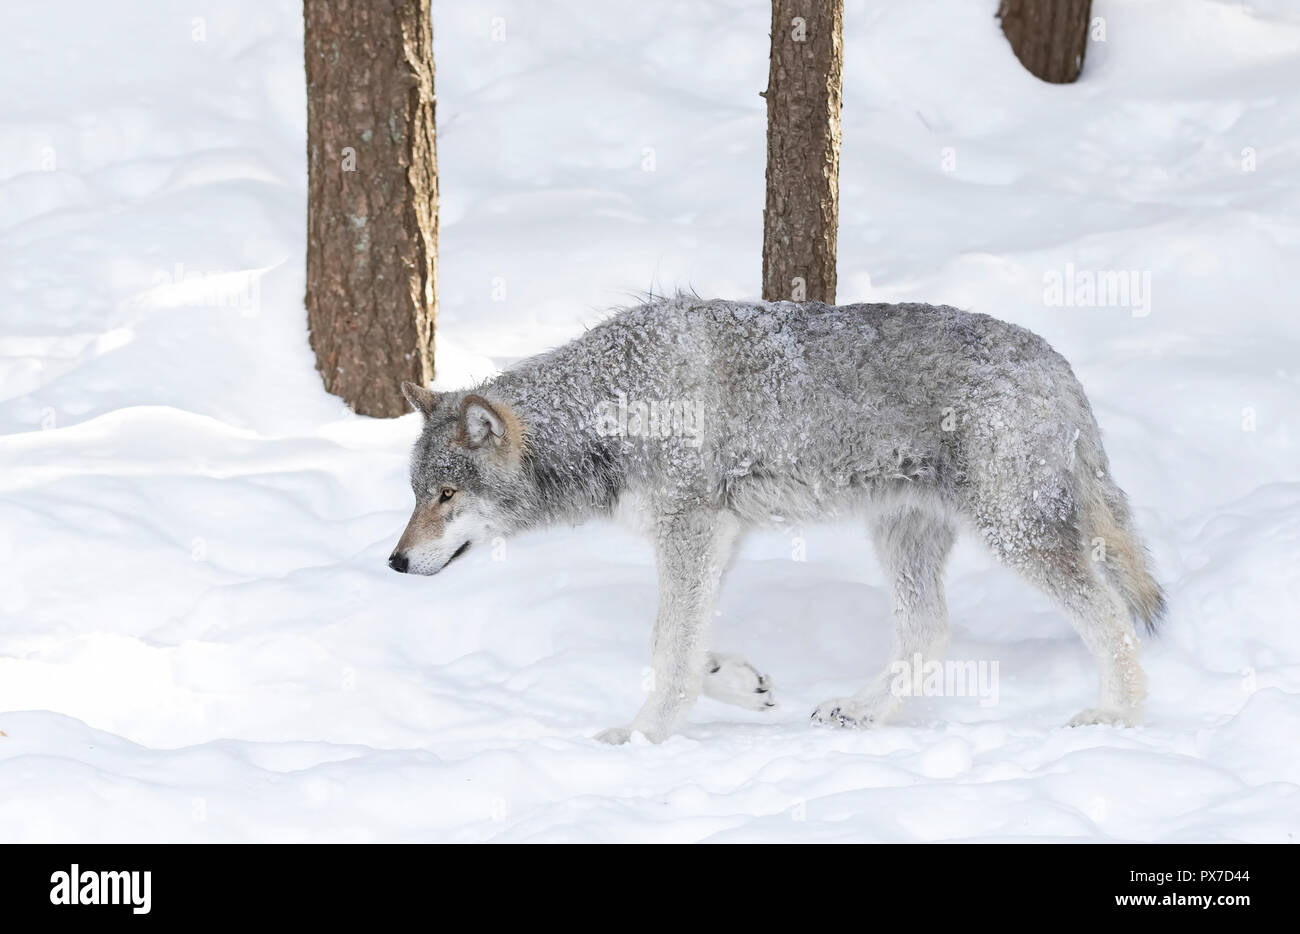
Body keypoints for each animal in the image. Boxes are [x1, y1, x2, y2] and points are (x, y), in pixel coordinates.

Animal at [389, 296, 1164, 743]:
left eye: (447, 494)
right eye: (417, 493)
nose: (394, 562)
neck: (613, 406)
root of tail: (1057, 364)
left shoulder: (691, 532)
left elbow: (667, 647)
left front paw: (641, 737)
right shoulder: (718, 534)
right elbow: (676, 640)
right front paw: (731, 680)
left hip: (1014, 535)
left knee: (1108, 615)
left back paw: (1117, 718)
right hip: (903, 535)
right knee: (930, 630)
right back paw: (861, 713)